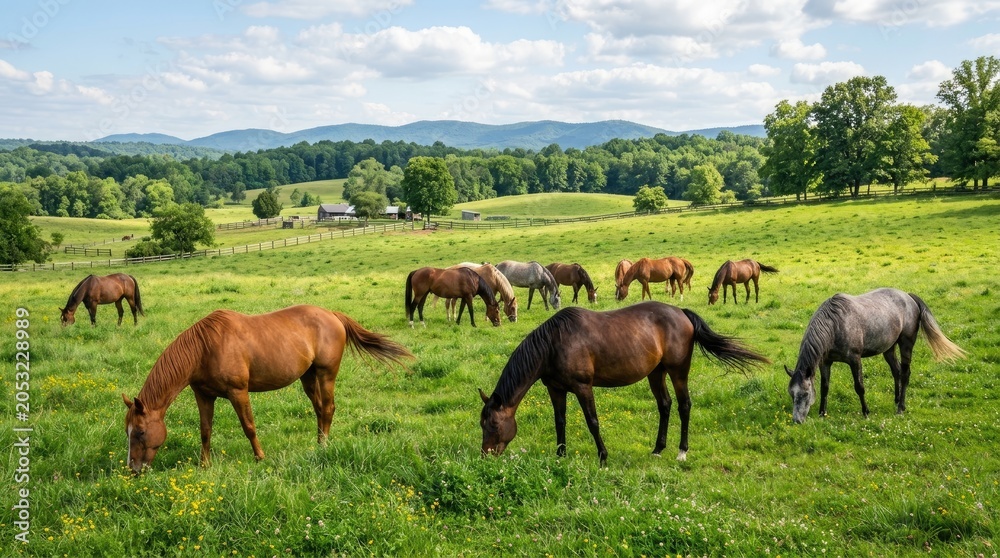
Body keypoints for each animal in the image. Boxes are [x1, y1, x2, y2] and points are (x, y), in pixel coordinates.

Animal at [121, 305, 412, 473]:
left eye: (140, 431)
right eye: (129, 431)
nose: (133, 469)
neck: (204, 348)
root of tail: (332, 315)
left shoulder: (238, 392)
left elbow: (248, 426)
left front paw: (260, 457)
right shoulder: (203, 395)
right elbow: (205, 430)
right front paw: (205, 464)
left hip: (326, 374)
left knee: (328, 408)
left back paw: (324, 445)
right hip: (307, 377)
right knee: (319, 409)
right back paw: (318, 443)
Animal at [479, 301, 770, 465]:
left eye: (493, 424)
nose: (486, 455)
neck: (554, 343)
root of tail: (682, 313)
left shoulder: (583, 387)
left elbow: (592, 422)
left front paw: (603, 457)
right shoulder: (555, 389)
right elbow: (559, 421)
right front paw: (560, 456)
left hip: (678, 371)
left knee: (684, 405)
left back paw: (681, 452)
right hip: (656, 373)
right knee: (665, 405)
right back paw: (657, 449)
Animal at [786, 288, 966, 424]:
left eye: (805, 394)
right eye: (792, 394)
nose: (797, 421)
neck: (835, 325)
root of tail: (908, 297)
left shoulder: (854, 360)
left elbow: (859, 387)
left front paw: (866, 412)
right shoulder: (825, 362)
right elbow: (825, 387)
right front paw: (822, 413)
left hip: (906, 344)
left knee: (905, 373)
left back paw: (900, 408)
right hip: (889, 349)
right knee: (897, 371)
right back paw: (896, 399)